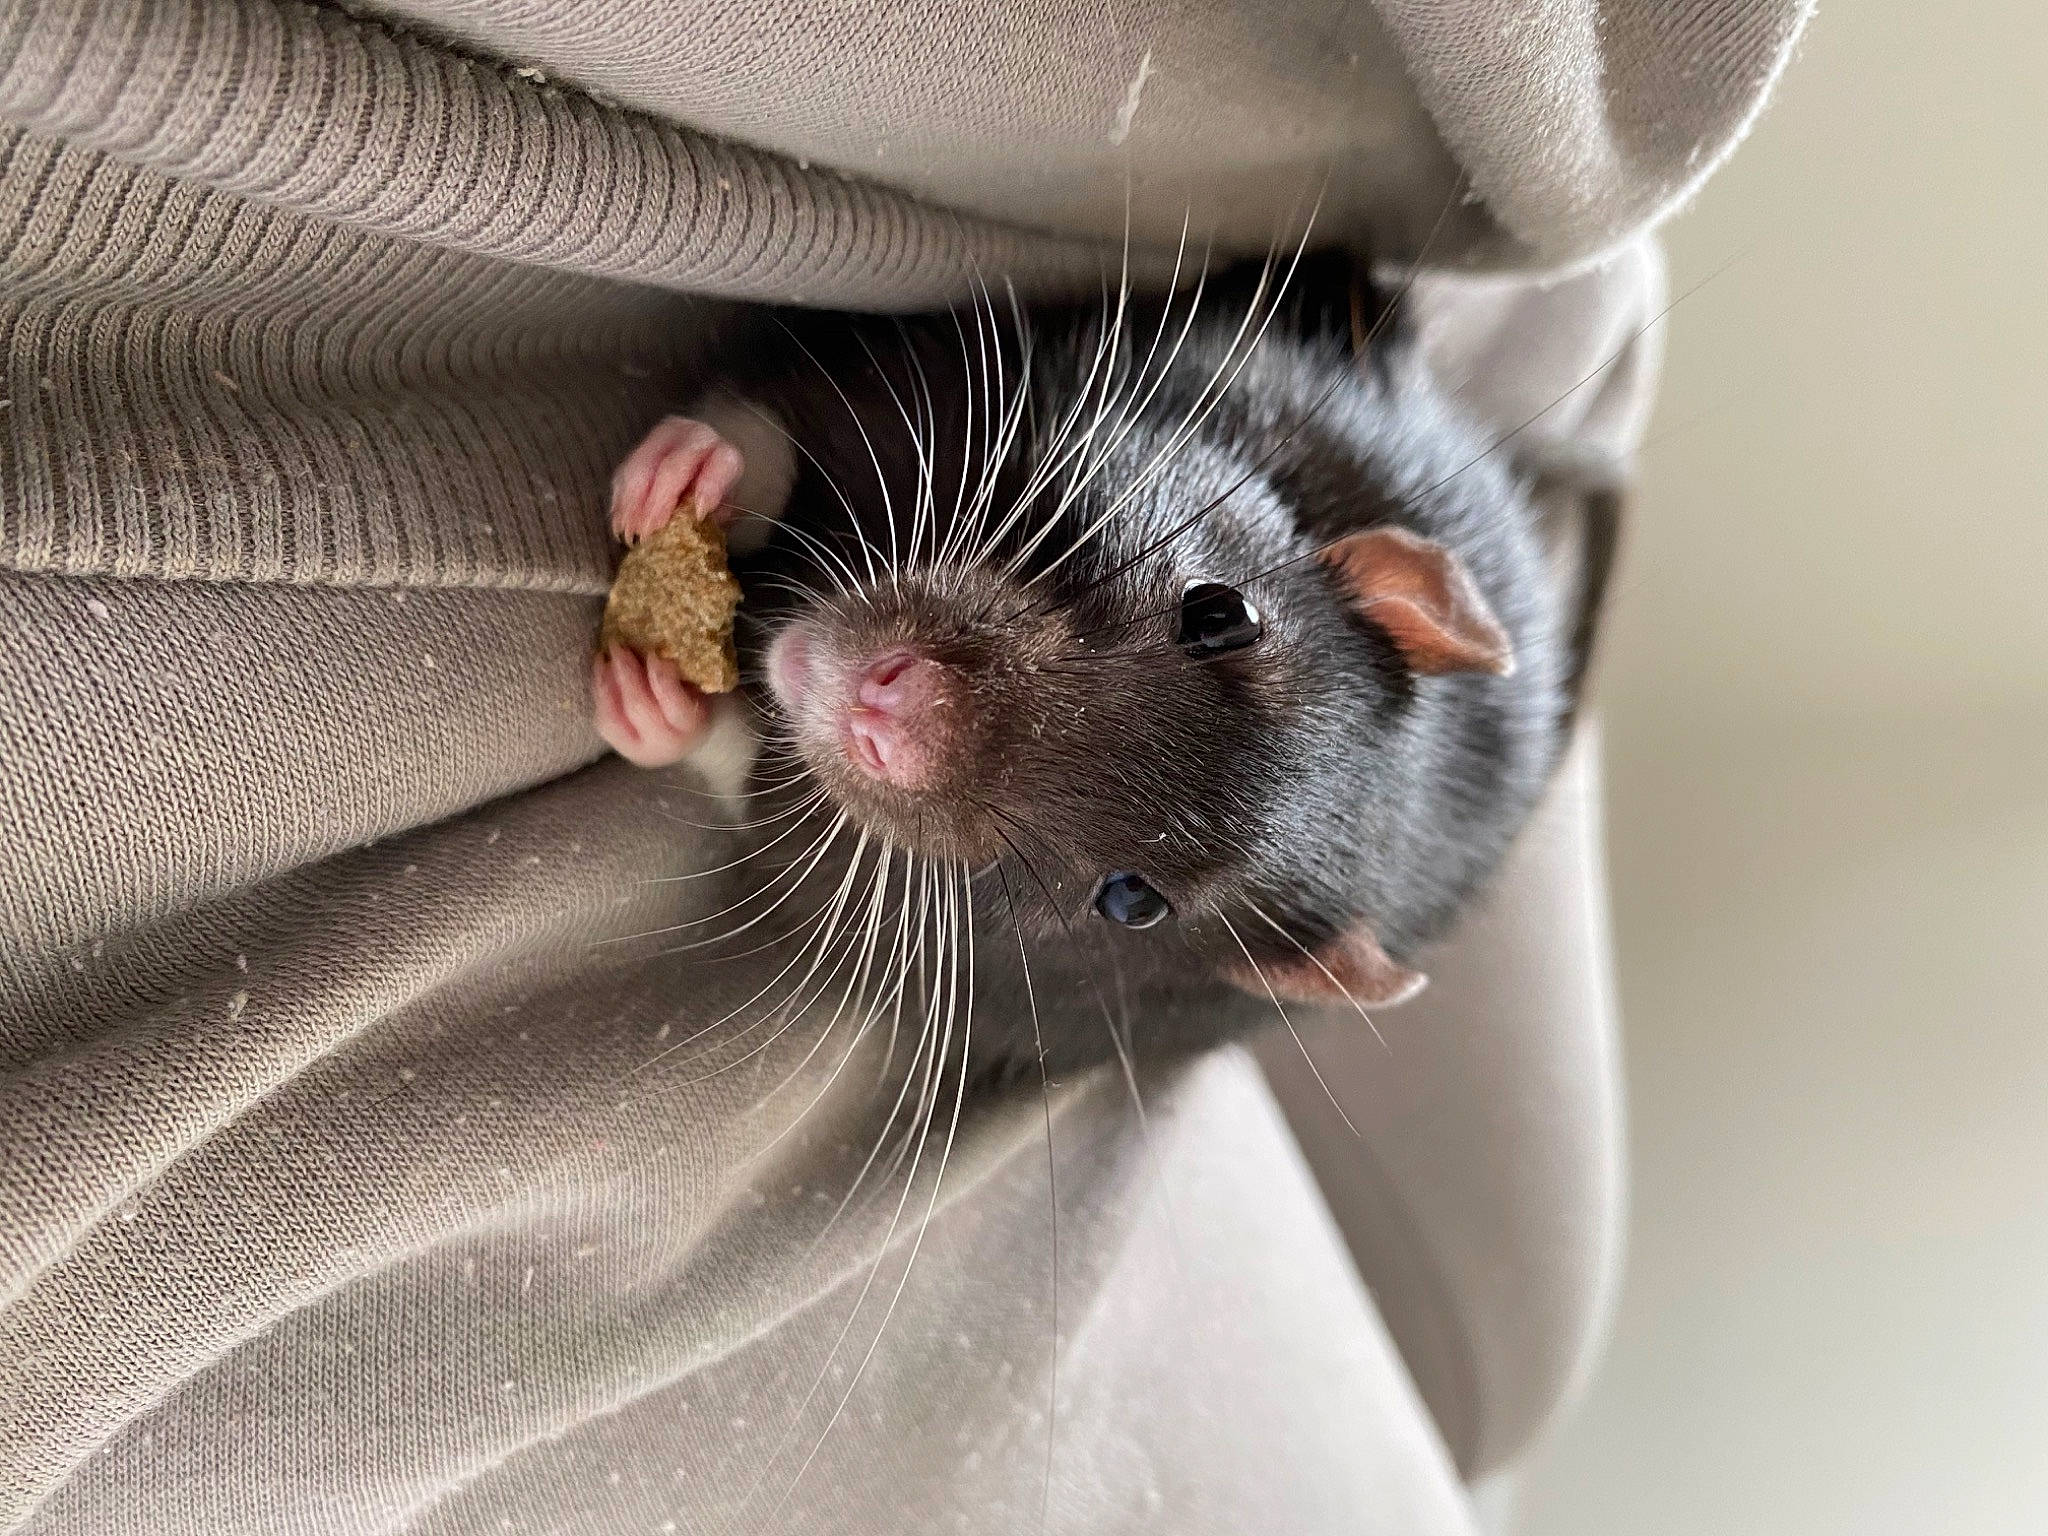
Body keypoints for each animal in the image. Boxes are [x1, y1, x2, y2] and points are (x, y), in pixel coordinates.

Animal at [593, 251, 1572, 1076]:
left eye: (1132, 902)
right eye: (1218, 615)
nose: (888, 711)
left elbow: (765, 807)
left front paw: (669, 715)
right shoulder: (994, 381)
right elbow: (826, 399)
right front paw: (707, 467)